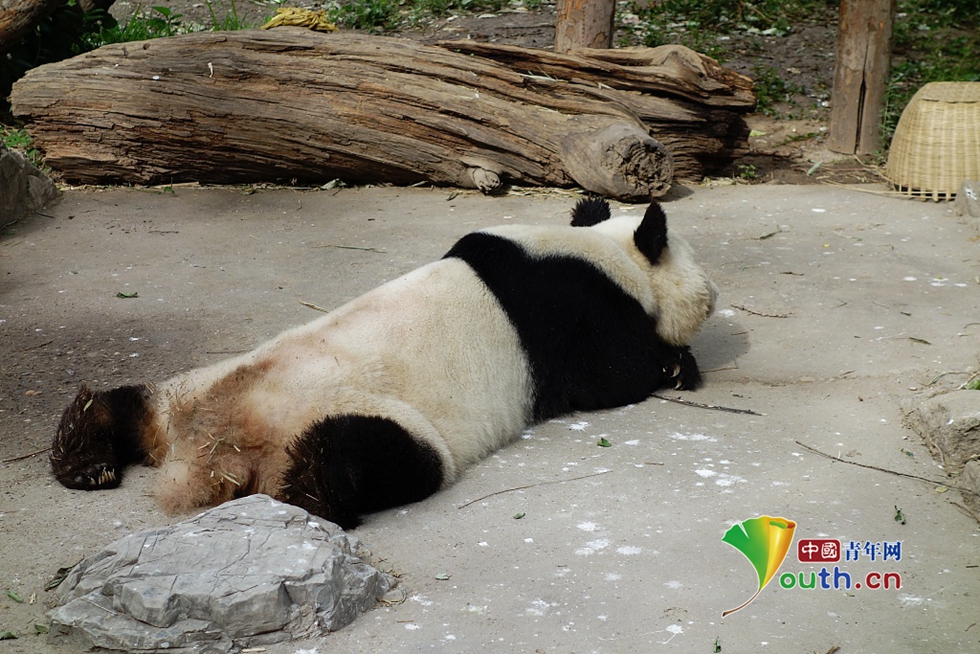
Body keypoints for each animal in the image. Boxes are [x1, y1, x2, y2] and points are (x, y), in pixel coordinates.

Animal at [49, 197, 716, 532]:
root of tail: (214, 448)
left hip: (194, 384)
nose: (713, 295)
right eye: (700, 271)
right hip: (375, 415)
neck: (600, 250)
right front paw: (676, 365)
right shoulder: (572, 314)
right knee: (375, 454)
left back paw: (83, 454)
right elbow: (611, 375)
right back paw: (315, 492)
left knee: (131, 402)